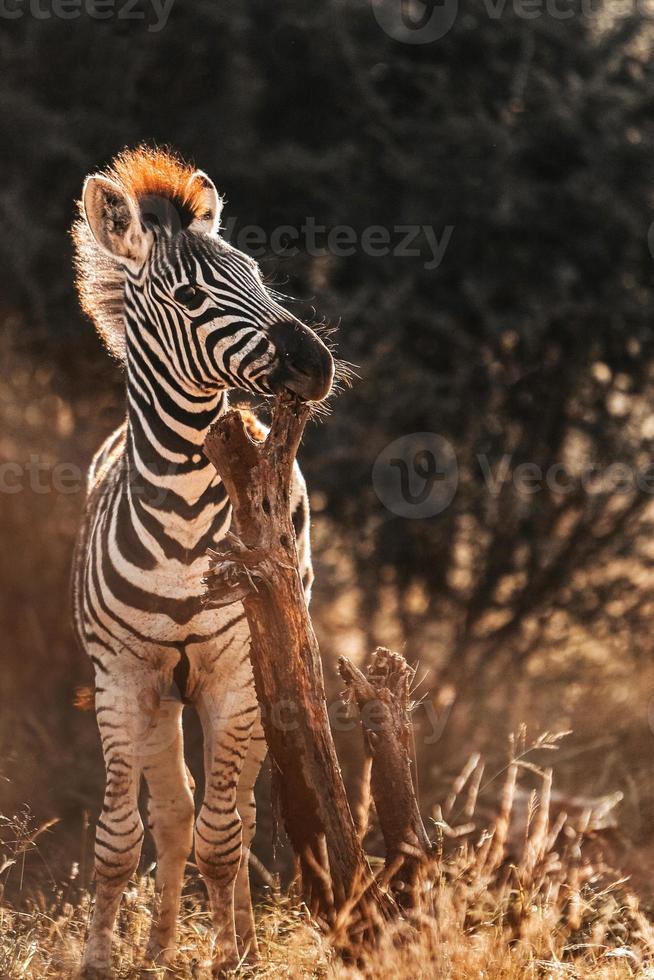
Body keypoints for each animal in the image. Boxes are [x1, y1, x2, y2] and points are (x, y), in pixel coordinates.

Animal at [72, 147, 336, 980]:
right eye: (191, 295)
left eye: (256, 273)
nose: (316, 364)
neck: (187, 515)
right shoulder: (122, 674)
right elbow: (121, 837)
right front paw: (101, 959)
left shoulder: (235, 670)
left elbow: (224, 838)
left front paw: (231, 960)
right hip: (163, 694)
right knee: (173, 810)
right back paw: (157, 947)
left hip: (257, 678)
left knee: (232, 813)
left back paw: (236, 940)